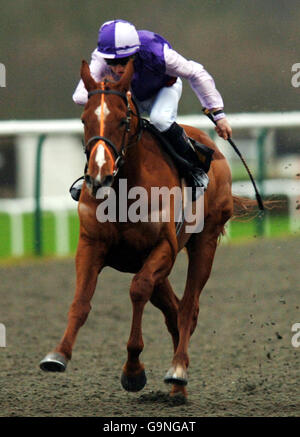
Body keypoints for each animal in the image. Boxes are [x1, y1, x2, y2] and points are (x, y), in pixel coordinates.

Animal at [39, 58, 237, 396]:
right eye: (84, 120)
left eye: (122, 121)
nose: (99, 176)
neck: (125, 188)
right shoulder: (91, 244)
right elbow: (81, 301)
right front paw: (58, 354)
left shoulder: (164, 247)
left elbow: (138, 290)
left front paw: (133, 370)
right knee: (173, 310)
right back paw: (178, 388)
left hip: (204, 241)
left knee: (188, 307)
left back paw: (178, 370)